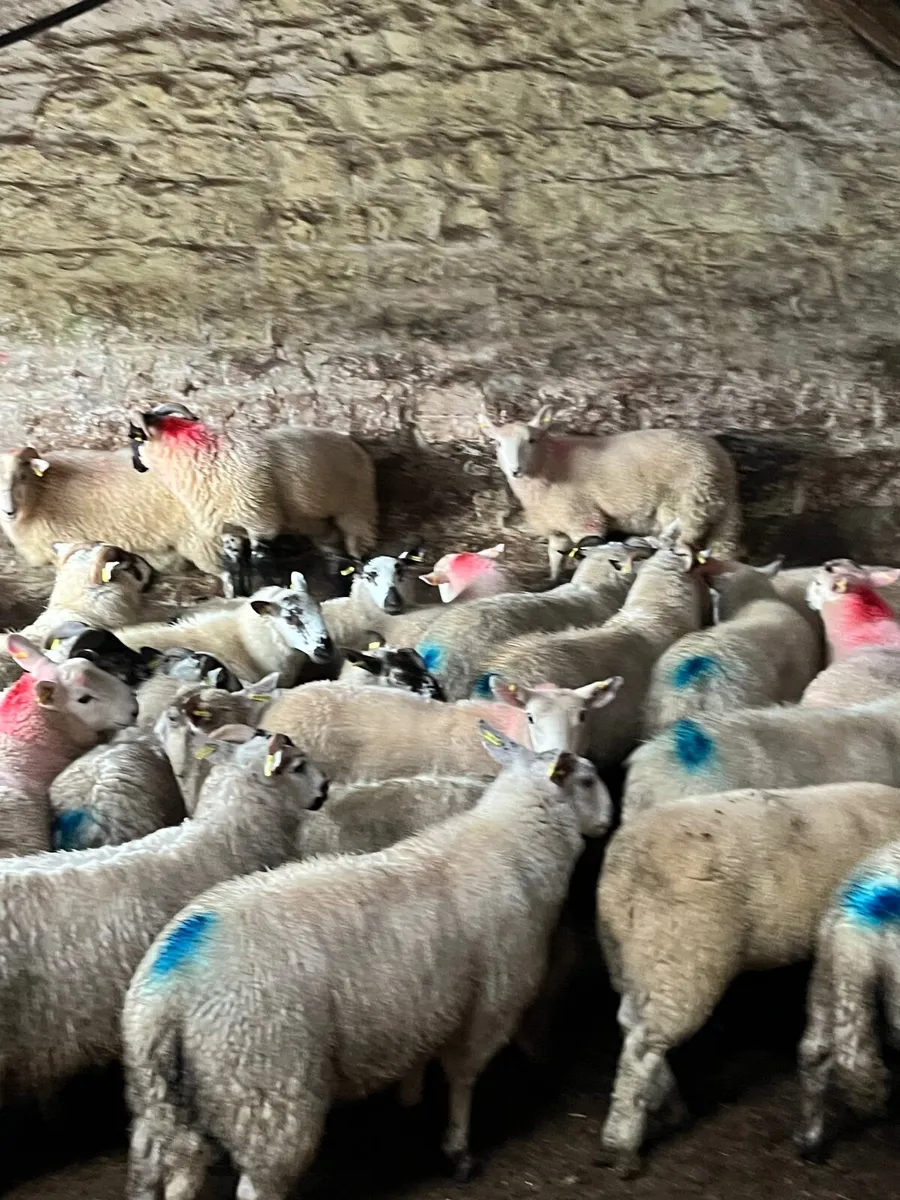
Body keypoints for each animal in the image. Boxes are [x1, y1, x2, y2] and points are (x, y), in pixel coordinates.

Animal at [122, 723, 611, 1200]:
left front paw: (410, 1102)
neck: (512, 846)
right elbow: (463, 1078)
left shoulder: (426, 1003)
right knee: (257, 1183)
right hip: (268, 1090)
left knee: (162, 1169)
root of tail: (170, 991)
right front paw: (458, 1151)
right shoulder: (491, 1004)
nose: (608, 822)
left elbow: (419, 1058)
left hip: (159, 1097)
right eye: (587, 781)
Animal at [127, 402, 377, 597]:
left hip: (357, 507)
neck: (204, 456)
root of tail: (351, 442)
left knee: (358, 549)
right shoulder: (229, 528)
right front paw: (239, 596)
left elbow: (260, 563)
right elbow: (234, 566)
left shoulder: (261, 522)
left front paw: (270, 592)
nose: (136, 467)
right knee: (334, 552)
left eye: (134, 438)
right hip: (315, 520)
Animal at [480, 405, 740, 579]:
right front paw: (553, 580)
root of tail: (721, 457)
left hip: (691, 504)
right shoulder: (557, 527)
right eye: (497, 443)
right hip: (716, 511)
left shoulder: (584, 520)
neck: (549, 466)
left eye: (532, 440)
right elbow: (555, 558)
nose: (515, 470)